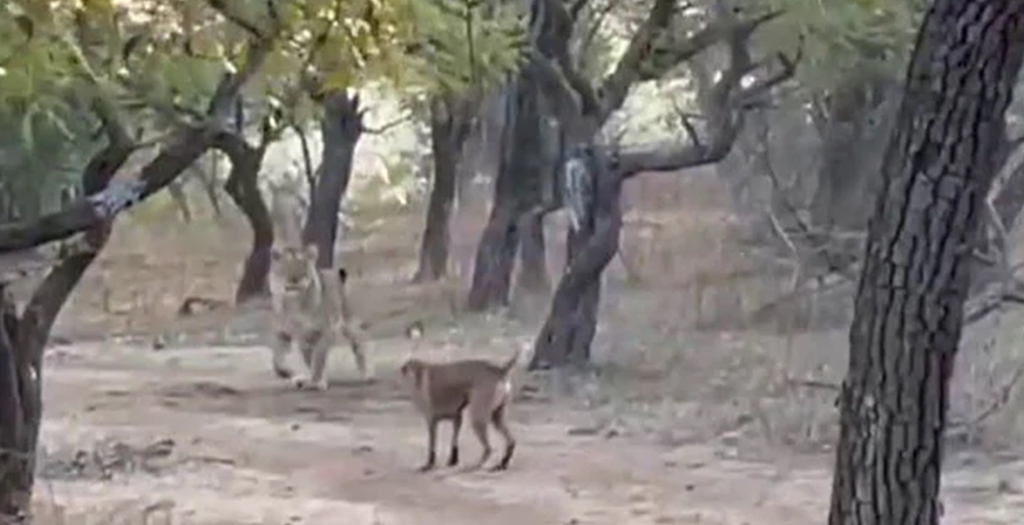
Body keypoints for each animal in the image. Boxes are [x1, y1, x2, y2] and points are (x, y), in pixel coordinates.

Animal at [269, 243, 368, 390]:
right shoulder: (282, 333)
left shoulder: (325, 332)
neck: (294, 303)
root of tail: (334, 273)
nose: (295, 279)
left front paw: (317, 380)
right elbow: (277, 361)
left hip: (350, 323)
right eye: (285, 264)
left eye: (303, 264)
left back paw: (367, 373)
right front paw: (289, 374)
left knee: (360, 341)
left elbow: (318, 359)